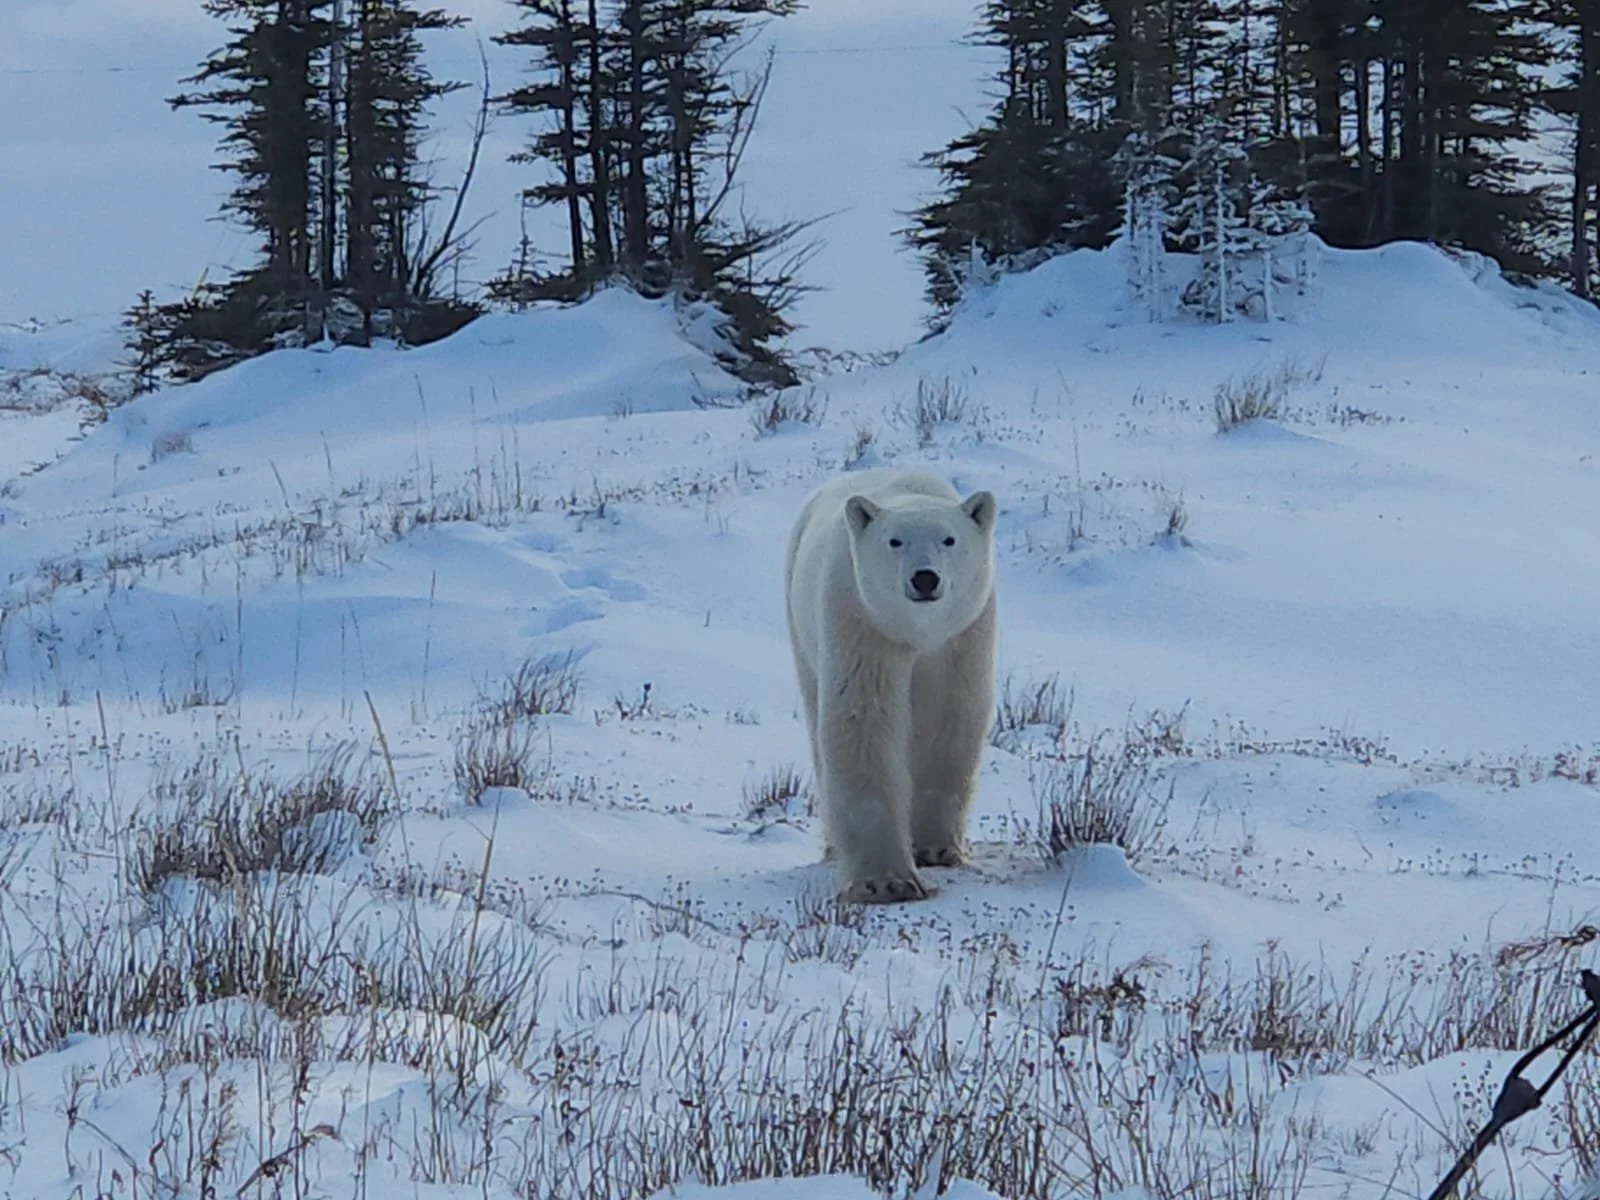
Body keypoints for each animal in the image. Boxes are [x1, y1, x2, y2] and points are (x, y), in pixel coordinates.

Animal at [784, 468, 998, 903]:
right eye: (894, 541)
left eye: (949, 539)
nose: (925, 578)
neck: (917, 632)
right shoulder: (862, 621)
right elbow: (864, 721)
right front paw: (886, 881)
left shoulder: (963, 635)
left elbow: (950, 721)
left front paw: (934, 848)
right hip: (801, 626)